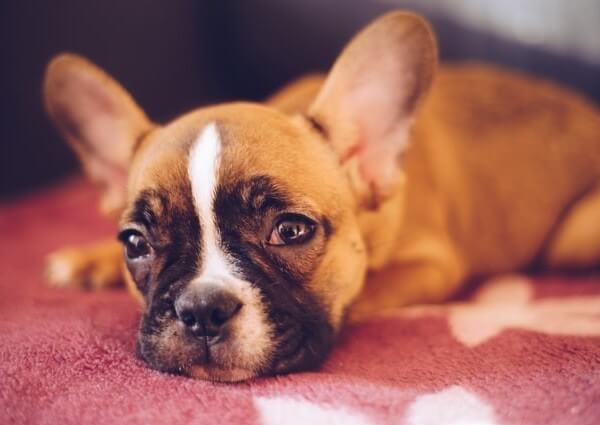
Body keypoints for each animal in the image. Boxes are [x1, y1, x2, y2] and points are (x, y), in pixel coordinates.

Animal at [42, 11, 600, 380]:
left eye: (291, 230)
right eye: (134, 243)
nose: (202, 309)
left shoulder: (433, 265)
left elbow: (362, 292)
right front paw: (90, 259)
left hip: (573, 235)